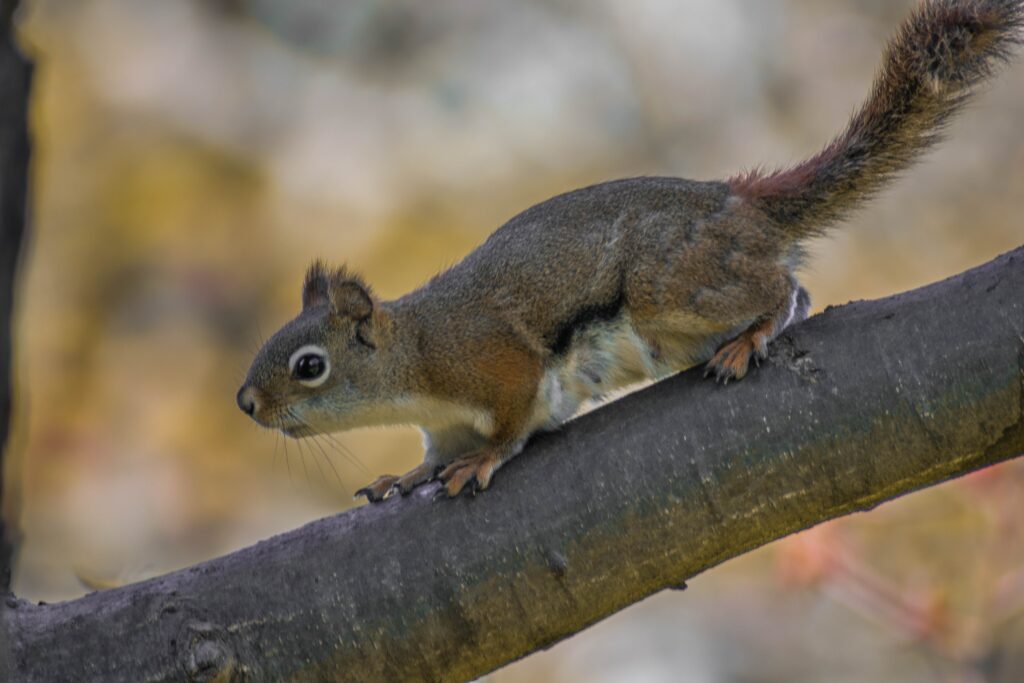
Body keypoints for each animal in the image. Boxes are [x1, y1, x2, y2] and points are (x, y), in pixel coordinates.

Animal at [237, 0, 1024, 501]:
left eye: (309, 365)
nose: (246, 403)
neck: (415, 358)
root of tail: (739, 204)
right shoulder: (444, 421)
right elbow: (434, 454)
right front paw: (404, 477)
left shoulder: (494, 363)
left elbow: (514, 421)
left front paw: (482, 460)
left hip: (671, 286)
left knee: (785, 289)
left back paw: (753, 336)